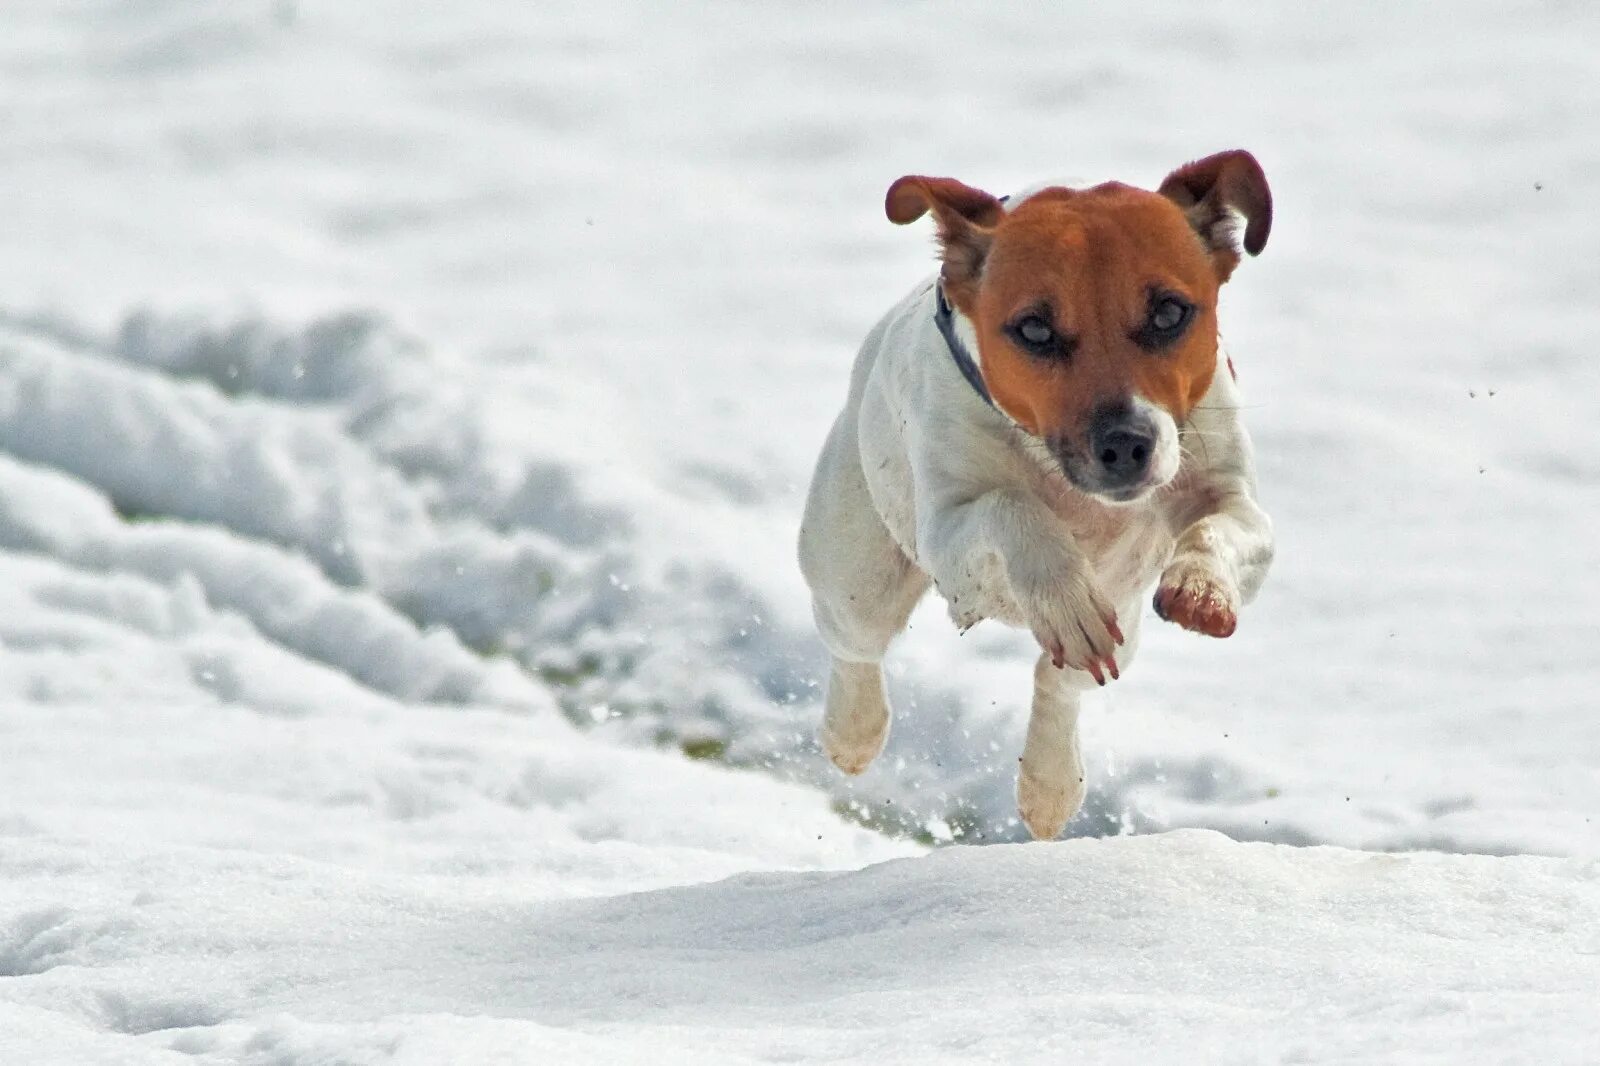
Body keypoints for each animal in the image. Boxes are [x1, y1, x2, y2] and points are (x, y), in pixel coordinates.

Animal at [796, 147, 1273, 838]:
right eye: (1034, 330)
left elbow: (1226, 523)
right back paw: (852, 734)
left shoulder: (1226, 484)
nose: (1126, 442)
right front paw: (1064, 594)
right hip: (857, 567)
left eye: (1168, 312)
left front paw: (1200, 587)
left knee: (1063, 679)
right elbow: (1011, 507)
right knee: (854, 643)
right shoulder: (948, 529)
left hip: (1123, 620)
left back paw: (1048, 785)